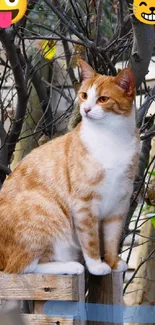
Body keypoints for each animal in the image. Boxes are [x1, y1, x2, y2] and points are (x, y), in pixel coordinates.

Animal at [0, 60, 139, 274]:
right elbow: (90, 240)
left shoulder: (119, 205)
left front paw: (113, 263)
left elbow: (112, 239)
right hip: (44, 208)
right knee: (21, 267)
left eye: (103, 99)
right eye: (84, 95)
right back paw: (72, 266)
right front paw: (96, 266)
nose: (86, 109)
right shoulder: (84, 204)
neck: (112, 137)